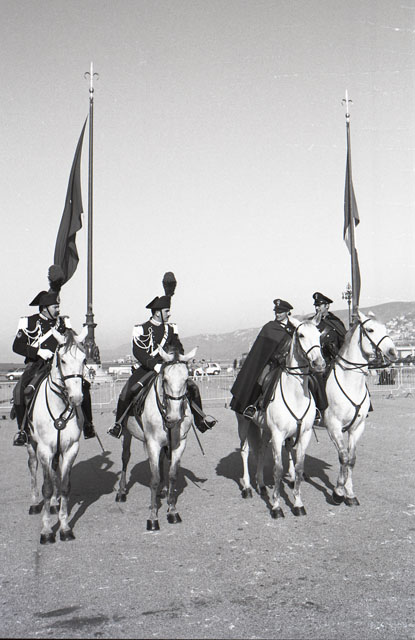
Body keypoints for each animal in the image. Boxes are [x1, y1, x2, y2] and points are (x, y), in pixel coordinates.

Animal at [26, 328, 87, 544]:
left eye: (85, 359)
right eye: (62, 360)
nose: (76, 398)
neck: (59, 405)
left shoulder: (70, 449)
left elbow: (64, 486)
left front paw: (65, 527)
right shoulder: (45, 449)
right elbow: (46, 487)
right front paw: (46, 531)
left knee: (54, 472)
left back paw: (53, 504)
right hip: (31, 445)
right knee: (33, 469)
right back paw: (35, 503)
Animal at [115, 345, 198, 531]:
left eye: (186, 379)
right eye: (165, 379)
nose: (174, 418)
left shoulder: (179, 443)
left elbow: (172, 474)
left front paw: (172, 510)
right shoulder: (152, 443)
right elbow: (154, 478)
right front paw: (153, 517)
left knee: (162, 462)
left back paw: (163, 491)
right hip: (126, 433)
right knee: (125, 458)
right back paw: (121, 491)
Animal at [236, 316, 326, 518]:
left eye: (319, 335)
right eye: (301, 335)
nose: (319, 364)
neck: (296, 395)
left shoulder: (304, 434)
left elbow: (299, 468)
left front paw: (298, 503)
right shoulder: (278, 435)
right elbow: (278, 469)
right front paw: (276, 506)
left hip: (265, 430)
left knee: (260, 451)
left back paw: (261, 485)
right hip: (244, 423)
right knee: (245, 451)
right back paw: (247, 488)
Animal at [324, 310, 397, 506]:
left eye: (385, 328)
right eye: (370, 330)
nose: (393, 352)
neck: (350, 382)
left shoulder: (357, 427)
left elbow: (351, 459)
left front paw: (349, 494)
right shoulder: (333, 426)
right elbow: (343, 457)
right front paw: (338, 493)